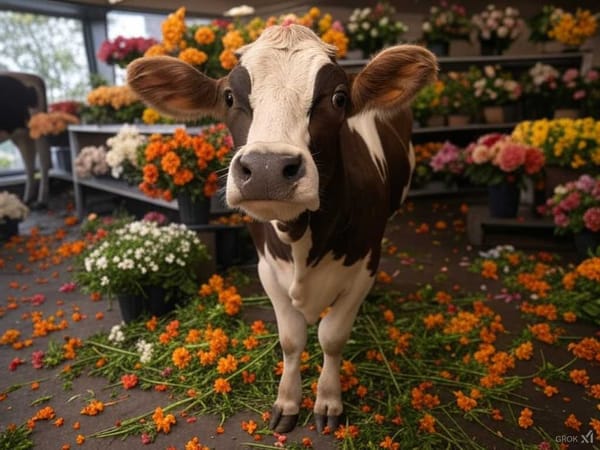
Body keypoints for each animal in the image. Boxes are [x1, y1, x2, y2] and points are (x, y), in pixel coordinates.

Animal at [127, 23, 436, 432]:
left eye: (338, 98)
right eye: (229, 97)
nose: (267, 168)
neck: (301, 237)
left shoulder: (365, 265)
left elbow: (331, 336)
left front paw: (328, 402)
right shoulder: (267, 269)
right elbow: (291, 339)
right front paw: (288, 401)